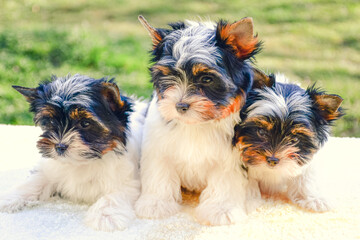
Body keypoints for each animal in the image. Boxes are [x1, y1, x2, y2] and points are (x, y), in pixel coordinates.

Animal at [0, 74, 148, 231]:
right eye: (51, 122)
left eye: (85, 123)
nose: (60, 146)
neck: (83, 161)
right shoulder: (50, 168)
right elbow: (36, 181)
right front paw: (9, 198)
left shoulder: (127, 177)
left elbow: (118, 192)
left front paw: (105, 215)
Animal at [135, 15, 262, 225]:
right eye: (169, 77)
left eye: (207, 79)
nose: (180, 106)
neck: (197, 123)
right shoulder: (158, 147)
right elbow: (159, 172)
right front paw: (155, 203)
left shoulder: (231, 156)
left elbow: (224, 180)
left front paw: (221, 210)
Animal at [233, 71, 344, 212]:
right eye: (261, 132)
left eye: (295, 139)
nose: (273, 160)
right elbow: (247, 181)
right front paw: (249, 200)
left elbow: (306, 176)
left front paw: (314, 198)